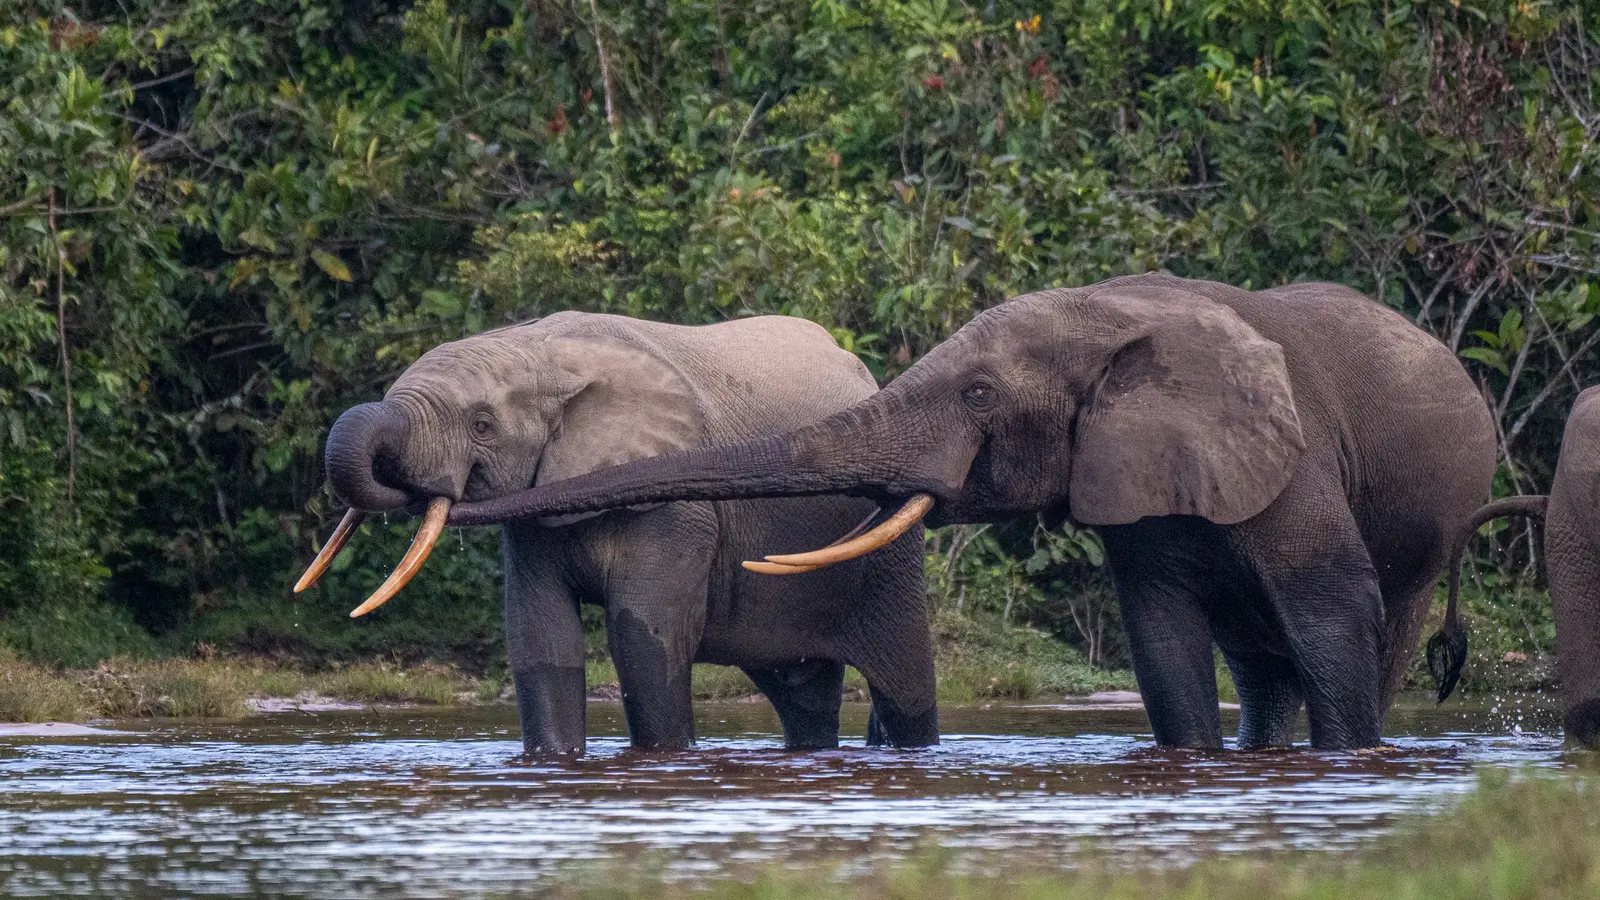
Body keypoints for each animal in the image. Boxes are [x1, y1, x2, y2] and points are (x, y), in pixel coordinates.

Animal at [293, 311, 937, 756]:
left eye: (482, 424)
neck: (540, 350)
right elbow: (540, 637)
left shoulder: (677, 508)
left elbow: (642, 638)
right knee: (801, 691)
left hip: (889, 552)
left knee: (902, 686)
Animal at [442, 273, 1497, 751]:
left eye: (982, 395)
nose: (446, 489)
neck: (1116, 312)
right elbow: (1160, 633)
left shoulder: (1296, 455)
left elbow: (1332, 610)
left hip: (1439, 512)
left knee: (1373, 626)